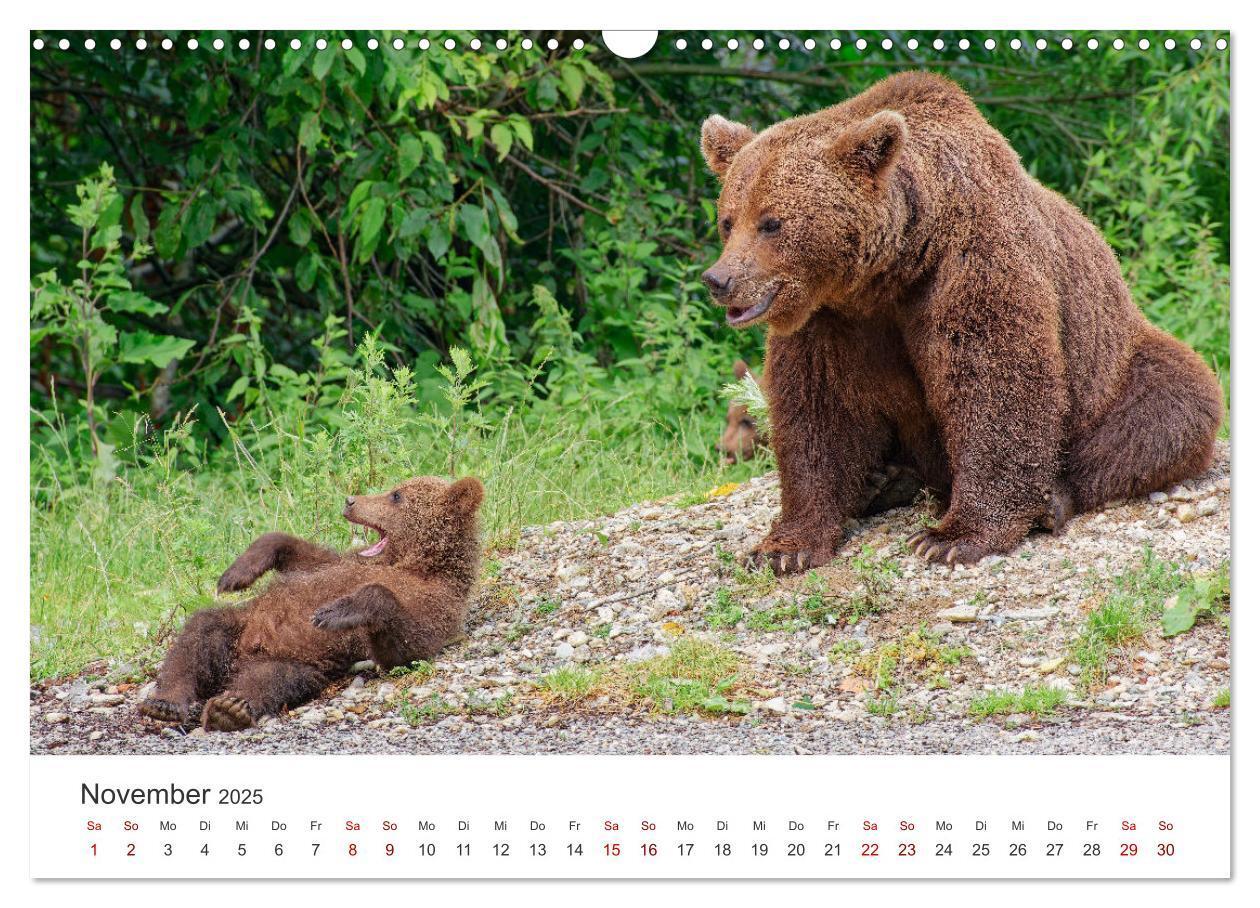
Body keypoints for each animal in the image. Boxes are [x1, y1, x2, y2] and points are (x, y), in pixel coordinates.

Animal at [700, 70, 1219, 569]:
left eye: (772, 222)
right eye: (728, 220)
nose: (719, 279)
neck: (893, 269)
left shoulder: (971, 262)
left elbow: (995, 383)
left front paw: (951, 538)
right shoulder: (828, 319)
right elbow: (817, 411)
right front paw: (784, 548)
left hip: (1115, 361)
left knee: (1169, 403)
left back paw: (1051, 498)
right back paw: (883, 482)